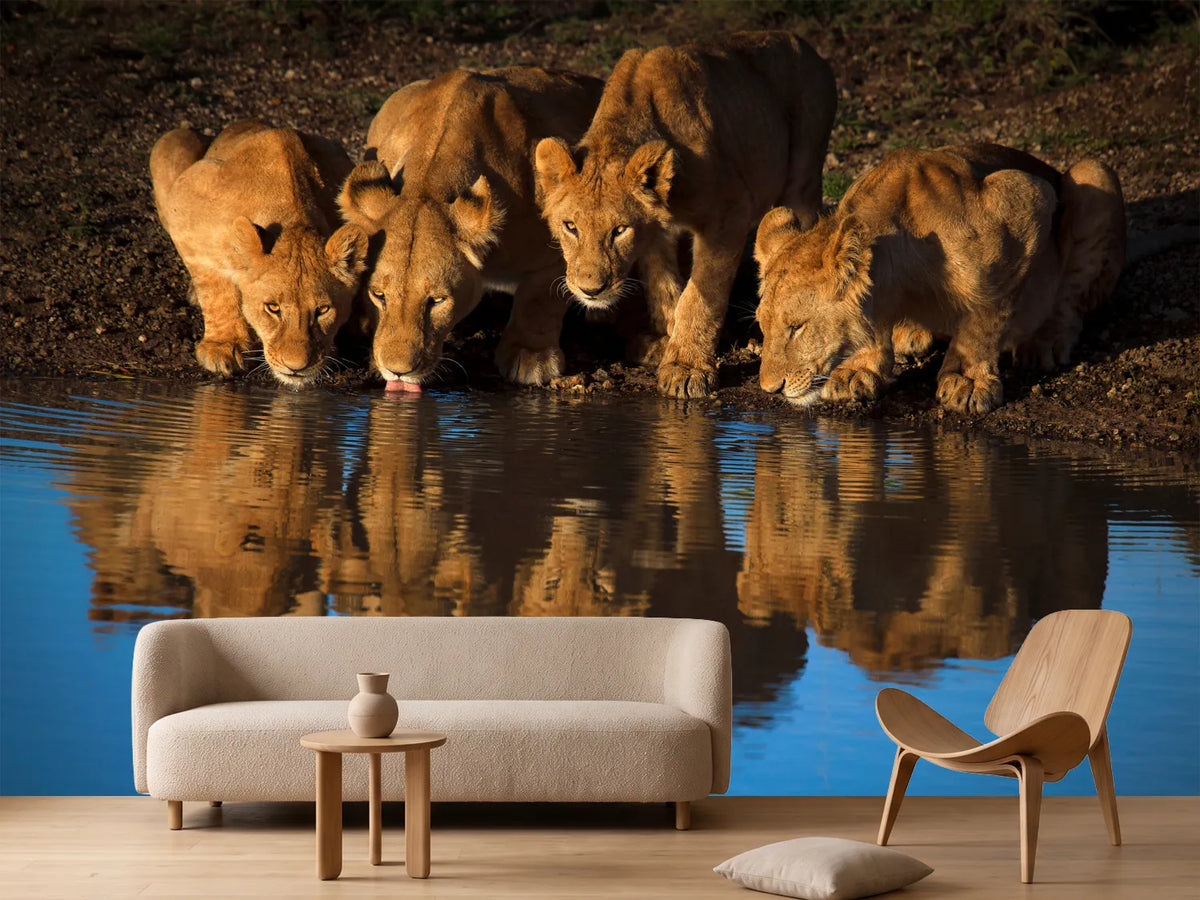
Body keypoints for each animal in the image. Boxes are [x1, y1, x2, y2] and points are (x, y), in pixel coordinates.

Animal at [150, 119, 369, 385]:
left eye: (323, 310)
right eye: (272, 308)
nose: (296, 367)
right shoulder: (184, 203)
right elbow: (215, 287)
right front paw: (224, 346)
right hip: (171, 141)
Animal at [338, 67, 603, 388]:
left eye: (437, 301)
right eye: (378, 295)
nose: (397, 371)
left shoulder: (558, 244)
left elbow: (540, 299)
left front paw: (531, 357)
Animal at [534, 31, 837, 398]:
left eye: (619, 230)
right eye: (570, 227)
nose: (591, 290)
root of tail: (806, 45)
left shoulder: (728, 214)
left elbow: (700, 295)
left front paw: (687, 368)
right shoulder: (655, 232)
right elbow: (664, 288)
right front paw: (666, 342)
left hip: (803, 173)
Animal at [754, 143, 1125, 414]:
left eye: (797, 327)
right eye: (763, 327)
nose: (770, 389)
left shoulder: (1025, 199)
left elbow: (985, 313)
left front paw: (967, 380)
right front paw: (861, 368)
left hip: (1094, 175)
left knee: (1072, 297)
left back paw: (1044, 342)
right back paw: (910, 334)